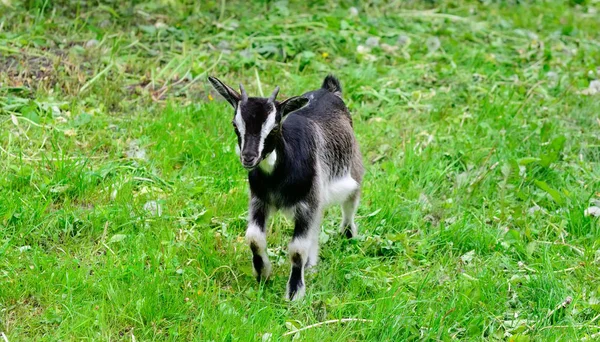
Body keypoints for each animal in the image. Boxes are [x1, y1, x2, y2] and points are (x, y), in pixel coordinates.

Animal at [206, 75, 366, 300]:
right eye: (235, 125)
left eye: (274, 127)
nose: (248, 157)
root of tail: (329, 90)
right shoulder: (259, 200)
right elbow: (254, 238)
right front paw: (262, 273)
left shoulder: (307, 203)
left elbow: (297, 249)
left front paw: (294, 292)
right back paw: (311, 264)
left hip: (353, 170)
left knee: (350, 203)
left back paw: (347, 234)